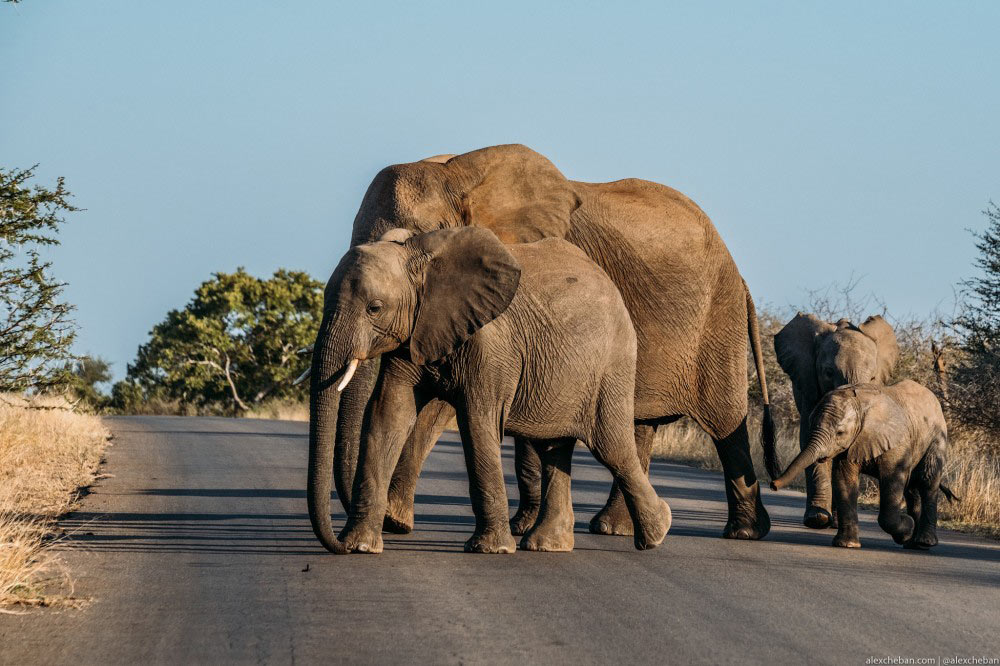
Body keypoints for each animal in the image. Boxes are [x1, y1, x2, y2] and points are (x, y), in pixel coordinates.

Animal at [310, 226, 672, 552]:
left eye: (374, 307)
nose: (337, 545)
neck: (421, 259)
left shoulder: (491, 346)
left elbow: (477, 423)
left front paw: (491, 549)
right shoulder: (413, 335)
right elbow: (389, 415)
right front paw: (359, 546)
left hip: (612, 366)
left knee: (611, 446)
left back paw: (657, 532)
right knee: (554, 448)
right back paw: (547, 545)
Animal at [768, 382, 956, 548]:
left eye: (840, 433)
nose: (773, 485)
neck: (860, 405)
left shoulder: (896, 443)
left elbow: (893, 480)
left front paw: (907, 528)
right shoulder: (851, 444)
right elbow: (844, 481)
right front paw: (847, 545)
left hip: (936, 440)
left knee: (927, 483)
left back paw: (923, 543)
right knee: (912, 489)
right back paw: (912, 544)